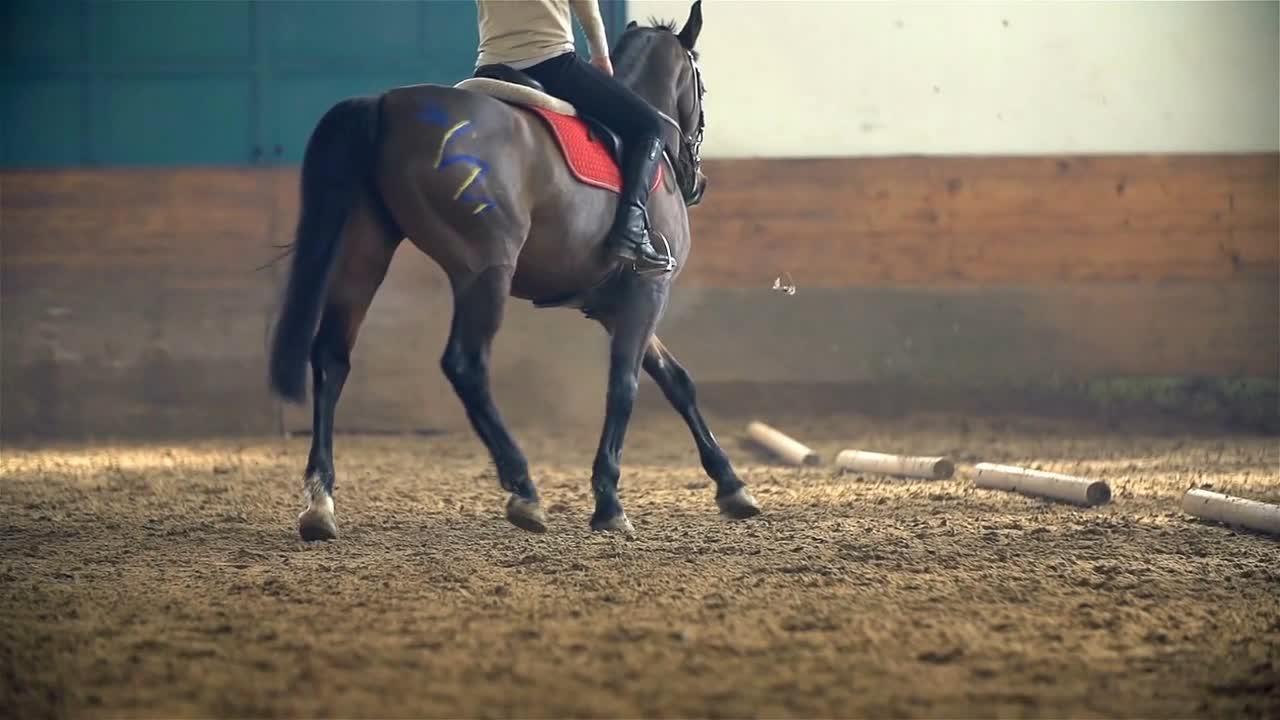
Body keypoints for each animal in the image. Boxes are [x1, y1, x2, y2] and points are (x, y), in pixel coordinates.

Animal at [263, 0, 752, 538]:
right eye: (701, 89)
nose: (697, 182)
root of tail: (385, 103)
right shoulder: (649, 286)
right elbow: (624, 385)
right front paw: (608, 503)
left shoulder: (611, 303)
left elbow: (675, 380)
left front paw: (731, 486)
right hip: (485, 270)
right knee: (466, 365)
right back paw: (524, 490)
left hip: (363, 254)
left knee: (332, 358)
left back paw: (319, 503)